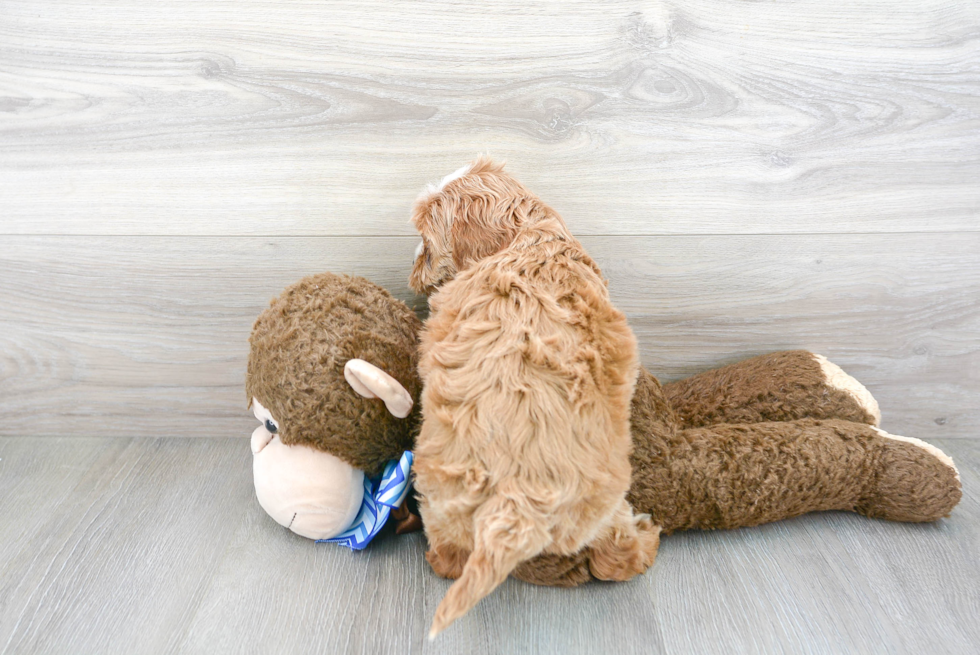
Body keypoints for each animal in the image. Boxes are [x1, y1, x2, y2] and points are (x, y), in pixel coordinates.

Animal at [406, 156, 660, 640]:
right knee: (612, 557)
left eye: (425, 244)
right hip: (604, 502)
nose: (413, 273)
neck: (525, 235)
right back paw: (644, 545)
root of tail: (517, 492)